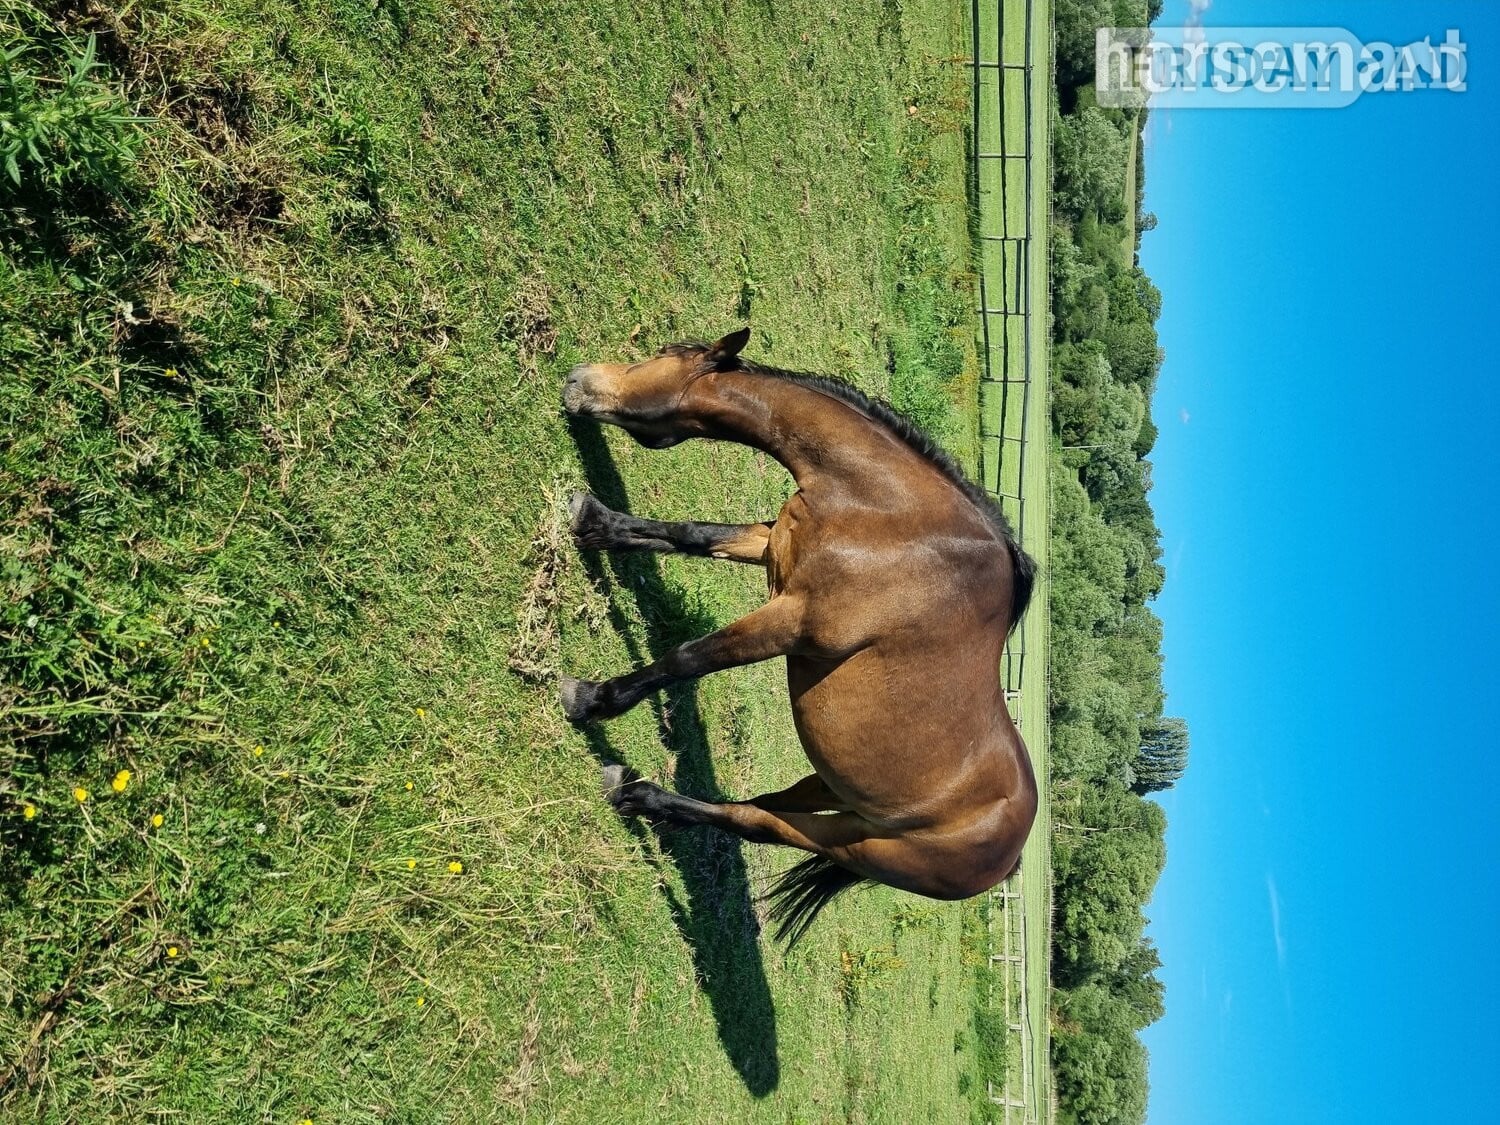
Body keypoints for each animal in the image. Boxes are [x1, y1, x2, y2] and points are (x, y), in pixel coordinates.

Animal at [560, 327, 1038, 944]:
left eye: (664, 355)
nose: (579, 380)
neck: (892, 518)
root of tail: (1011, 854)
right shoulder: (772, 545)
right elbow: (688, 534)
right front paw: (592, 521)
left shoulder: (793, 621)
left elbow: (686, 658)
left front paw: (591, 700)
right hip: (832, 790)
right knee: (765, 803)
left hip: (855, 843)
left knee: (758, 821)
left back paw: (633, 792)